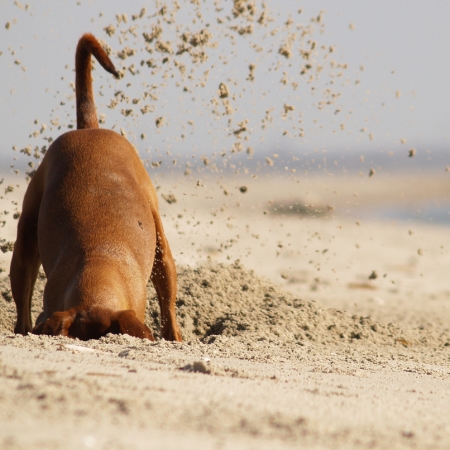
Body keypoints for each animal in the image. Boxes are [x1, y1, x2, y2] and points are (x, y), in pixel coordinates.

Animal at [9, 32, 181, 342]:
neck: (99, 269)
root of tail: (89, 128)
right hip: (25, 246)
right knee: (22, 307)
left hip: (162, 252)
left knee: (169, 305)